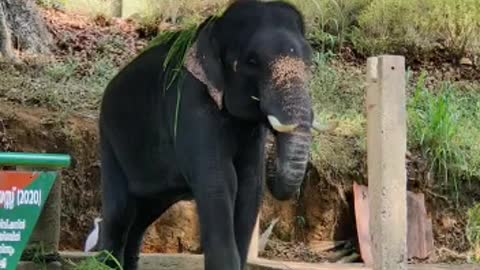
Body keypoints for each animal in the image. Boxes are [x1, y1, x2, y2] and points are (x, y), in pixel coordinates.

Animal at [97, 0, 316, 270]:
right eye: (252, 61)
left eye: (309, 62)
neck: (212, 29)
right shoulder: (191, 100)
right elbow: (221, 180)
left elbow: (250, 184)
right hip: (109, 137)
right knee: (119, 212)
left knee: (142, 217)